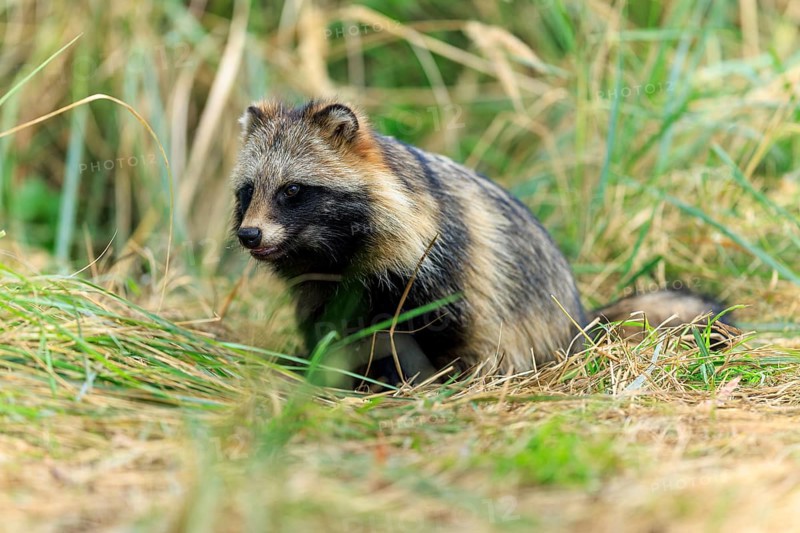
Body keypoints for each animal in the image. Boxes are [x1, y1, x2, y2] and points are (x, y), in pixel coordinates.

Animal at [231, 99, 727, 384]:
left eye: (292, 190)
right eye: (248, 191)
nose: (249, 234)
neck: (329, 251)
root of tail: (578, 326)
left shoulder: (437, 261)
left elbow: (441, 327)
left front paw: (410, 381)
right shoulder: (319, 285)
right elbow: (326, 328)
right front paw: (321, 368)